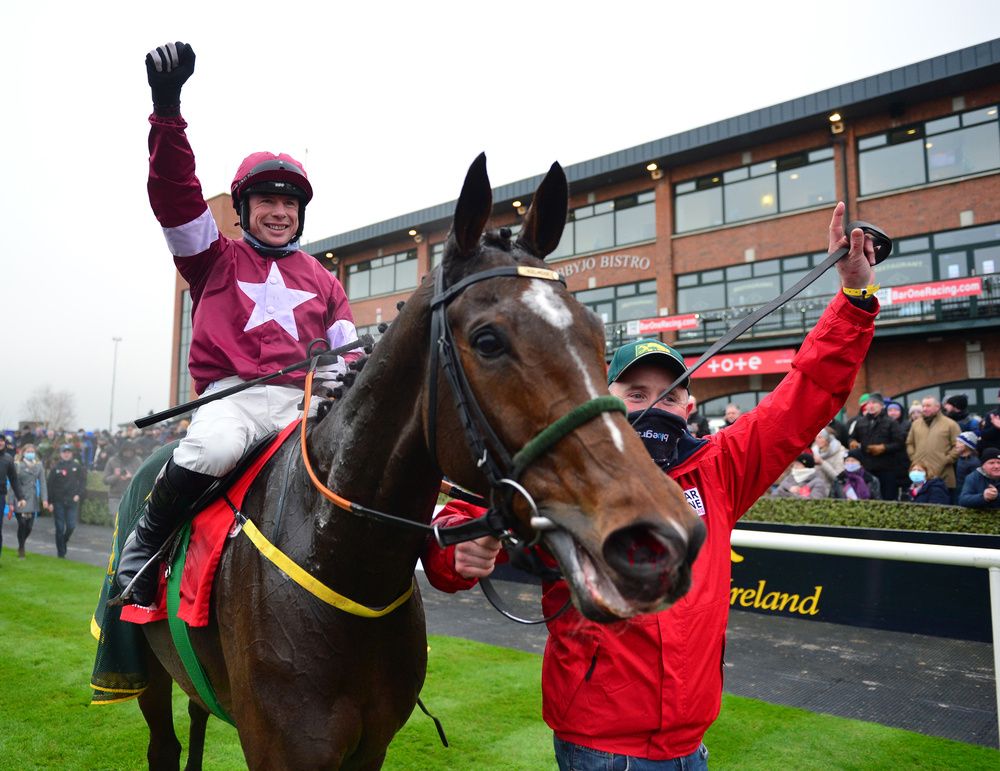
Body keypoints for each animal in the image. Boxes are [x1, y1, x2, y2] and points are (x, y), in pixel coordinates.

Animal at [137, 154, 708, 768]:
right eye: (487, 340)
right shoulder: (282, 749)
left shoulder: (370, 745)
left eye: (599, 331)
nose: (659, 538)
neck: (337, 555)